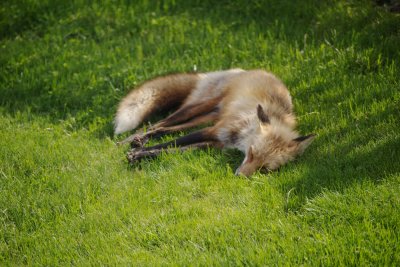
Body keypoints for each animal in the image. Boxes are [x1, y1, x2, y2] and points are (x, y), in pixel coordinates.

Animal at [113, 69, 316, 177]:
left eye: (264, 169)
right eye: (251, 154)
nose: (239, 176)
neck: (242, 136)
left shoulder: (215, 143)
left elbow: (171, 149)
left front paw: (140, 154)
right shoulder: (215, 131)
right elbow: (170, 143)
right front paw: (136, 154)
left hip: (204, 117)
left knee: (163, 128)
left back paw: (138, 141)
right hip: (197, 108)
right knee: (156, 125)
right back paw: (130, 141)